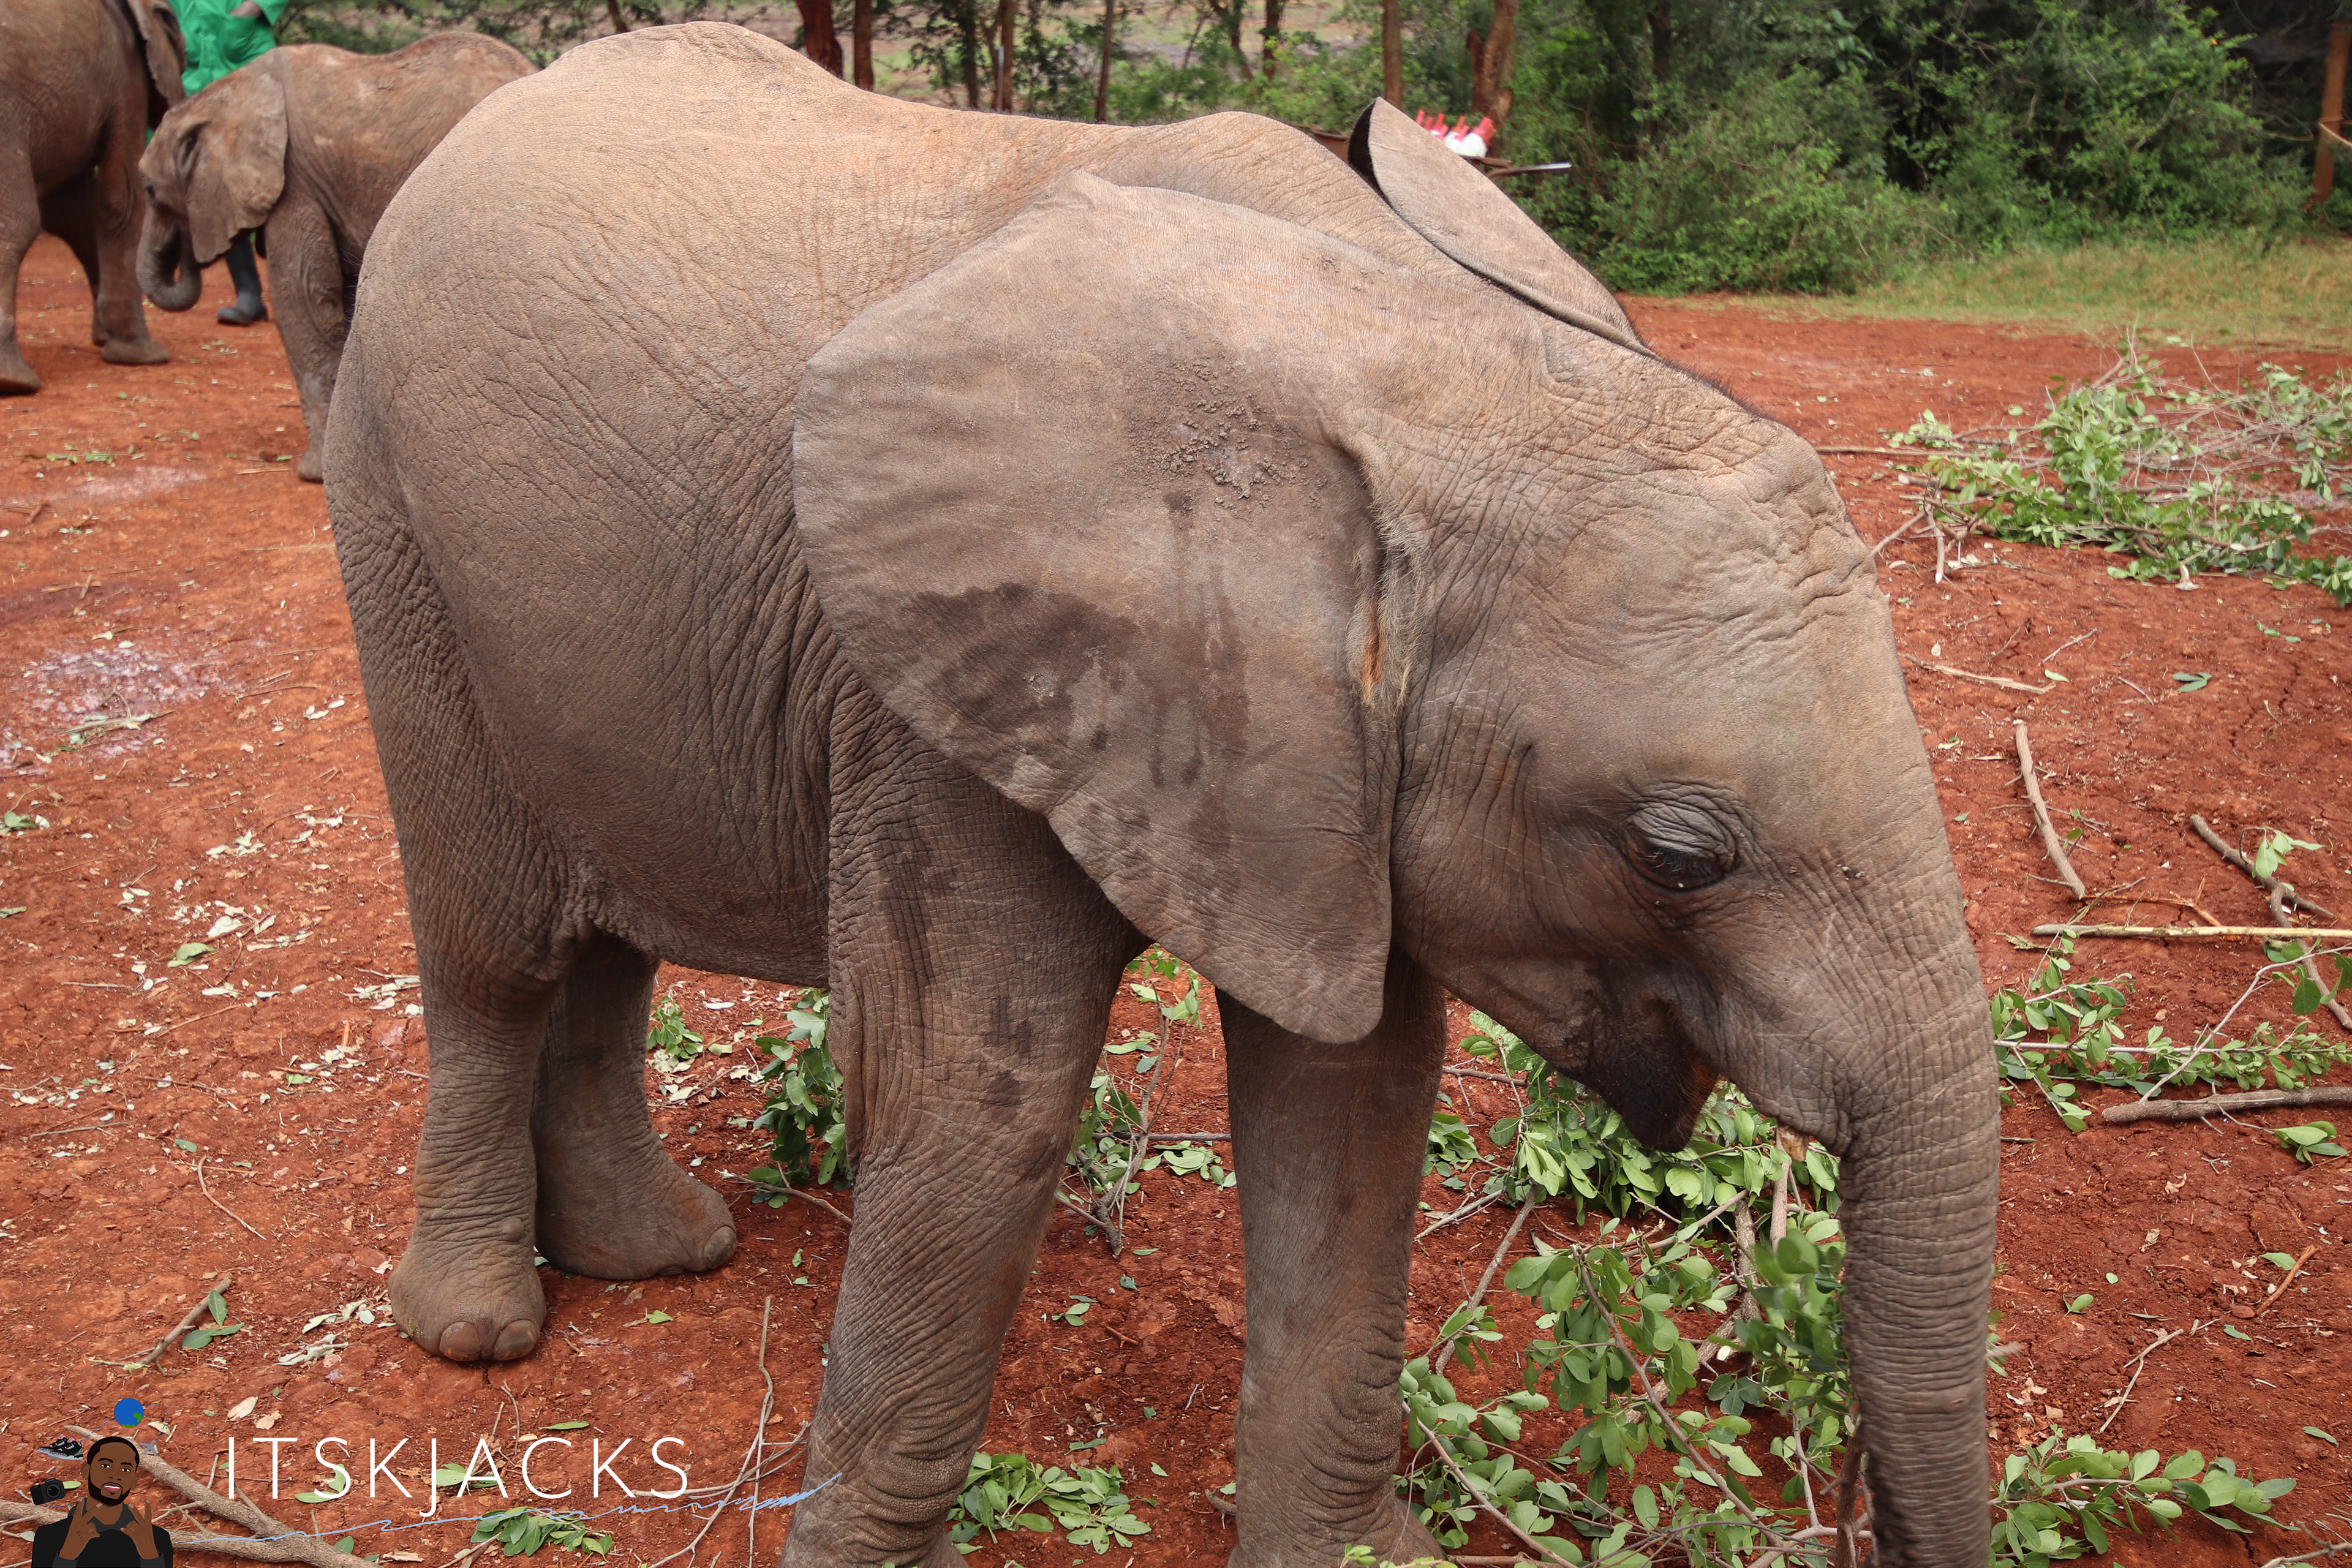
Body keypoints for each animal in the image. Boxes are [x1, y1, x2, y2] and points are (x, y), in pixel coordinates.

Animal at [0, 0, 185, 393]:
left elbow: (71, 215)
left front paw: (103, 338)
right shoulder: (129, 74)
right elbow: (121, 199)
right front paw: (144, 357)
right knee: (17, 223)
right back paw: (15, 382)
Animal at [136, 31, 531, 480]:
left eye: (150, 190)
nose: (189, 247)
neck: (227, 93)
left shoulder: (296, 181)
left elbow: (302, 298)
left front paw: (315, 473)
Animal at [324, 23, 2000, 1568]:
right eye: (1678, 856)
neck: (1430, 357)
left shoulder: (1333, 773)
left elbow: (1352, 1110)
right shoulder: (944, 682)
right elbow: (970, 1107)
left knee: (606, 937)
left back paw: (659, 1254)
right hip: (387, 516)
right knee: (495, 948)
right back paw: (481, 1325)